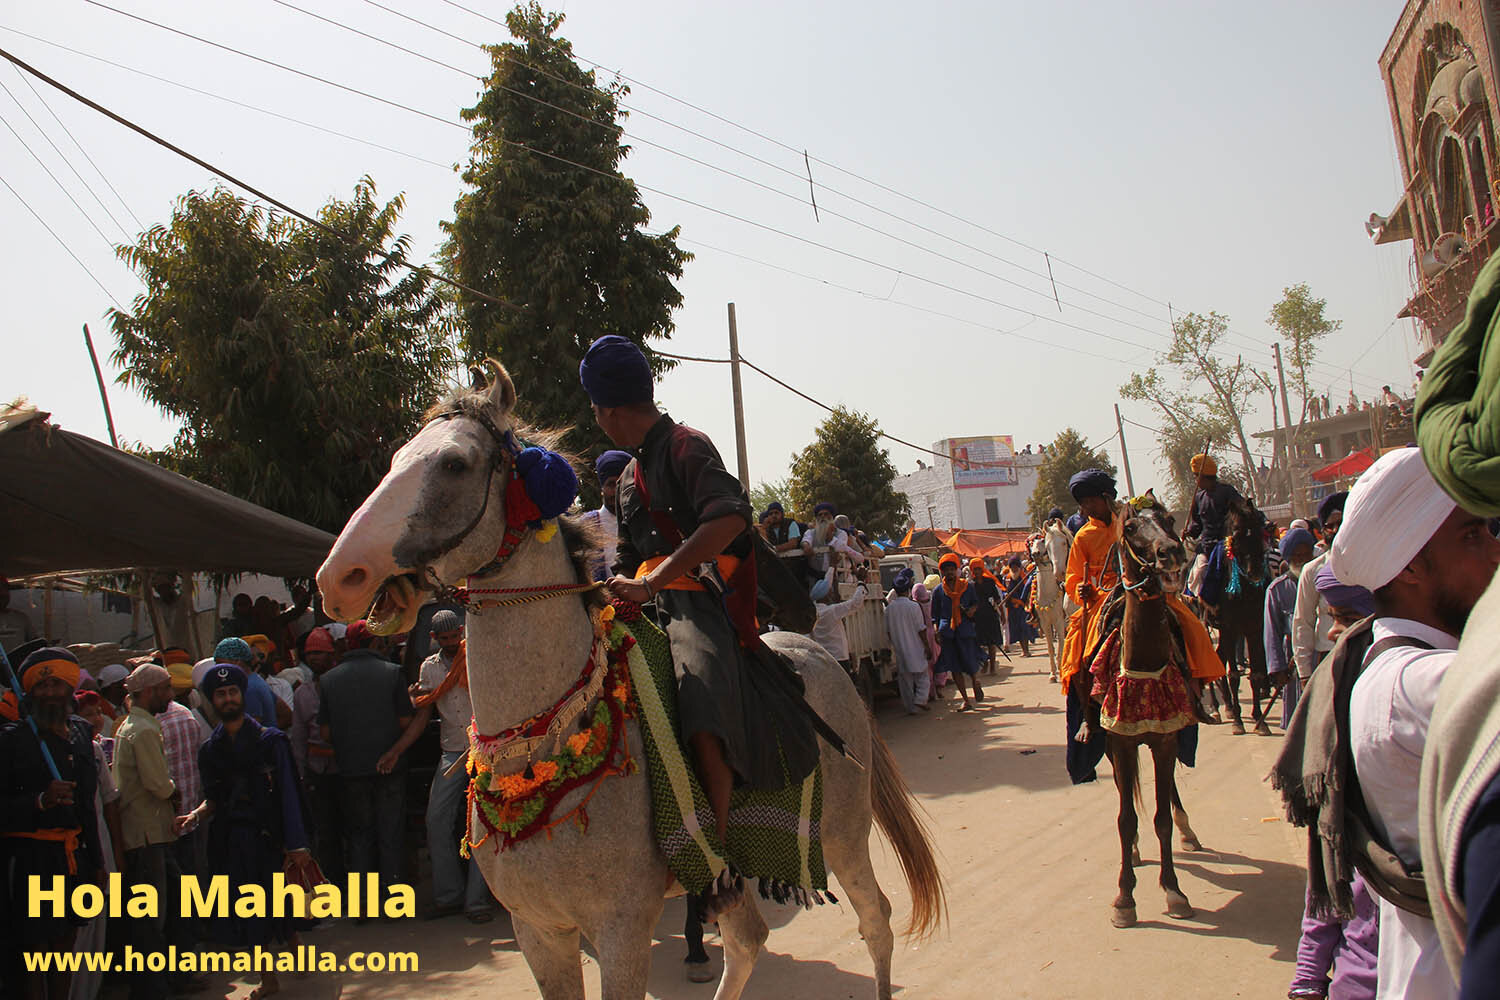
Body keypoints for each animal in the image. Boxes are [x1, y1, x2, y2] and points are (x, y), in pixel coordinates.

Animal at [321, 364, 942, 995]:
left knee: (876, 920)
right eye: (396, 457)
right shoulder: (539, 930)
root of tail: (820, 656)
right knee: (748, 940)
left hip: (843, 832)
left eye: (454, 464)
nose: (339, 577)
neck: (544, 740)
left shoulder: (621, 929)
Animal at [1026, 521, 1074, 683]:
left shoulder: (1059, 620)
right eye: (1031, 543)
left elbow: (1061, 644)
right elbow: (1050, 647)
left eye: (1041, 541)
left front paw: (1061, 668)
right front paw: (1053, 673)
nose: (1035, 554)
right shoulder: (1045, 622)